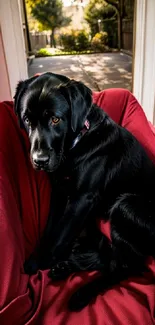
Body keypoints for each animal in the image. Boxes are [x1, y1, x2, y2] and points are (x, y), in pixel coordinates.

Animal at [13, 72, 155, 310]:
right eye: (27, 120)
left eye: (55, 119)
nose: (39, 161)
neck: (75, 146)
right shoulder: (59, 193)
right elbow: (51, 228)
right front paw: (38, 257)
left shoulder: (82, 199)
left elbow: (61, 233)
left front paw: (43, 261)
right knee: (108, 256)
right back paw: (68, 266)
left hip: (126, 205)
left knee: (126, 266)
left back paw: (82, 293)